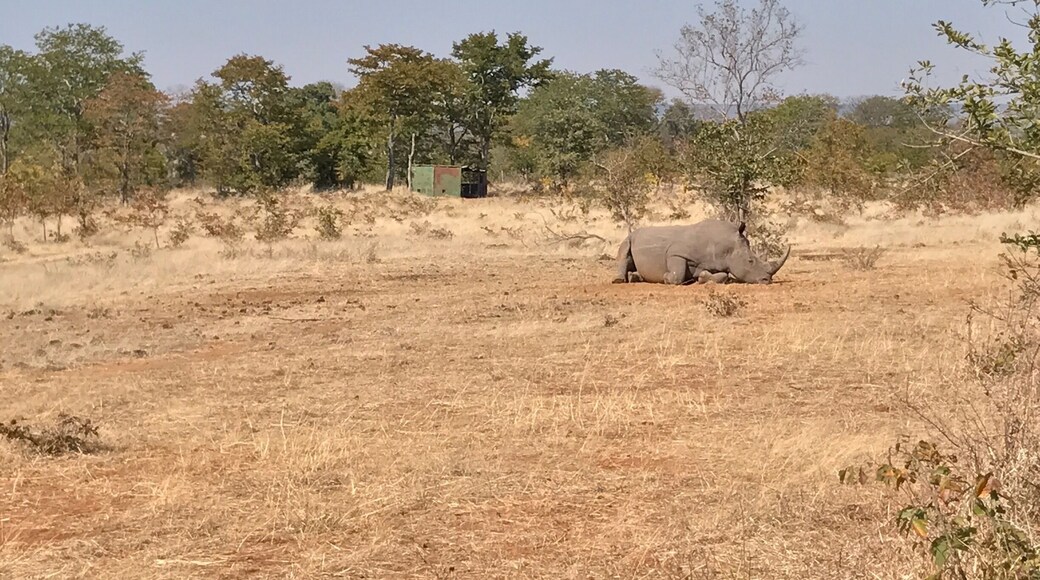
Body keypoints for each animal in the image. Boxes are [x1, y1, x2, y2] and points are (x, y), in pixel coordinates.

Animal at [612, 219, 790, 285]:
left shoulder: (716, 263)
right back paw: (620, 281)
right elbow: (676, 275)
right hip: (630, 237)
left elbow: (723, 276)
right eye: (750, 261)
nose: (767, 280)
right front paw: (666, 277)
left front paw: (701, 278)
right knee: (624, 251)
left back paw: (636, 278)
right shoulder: (676, 253)